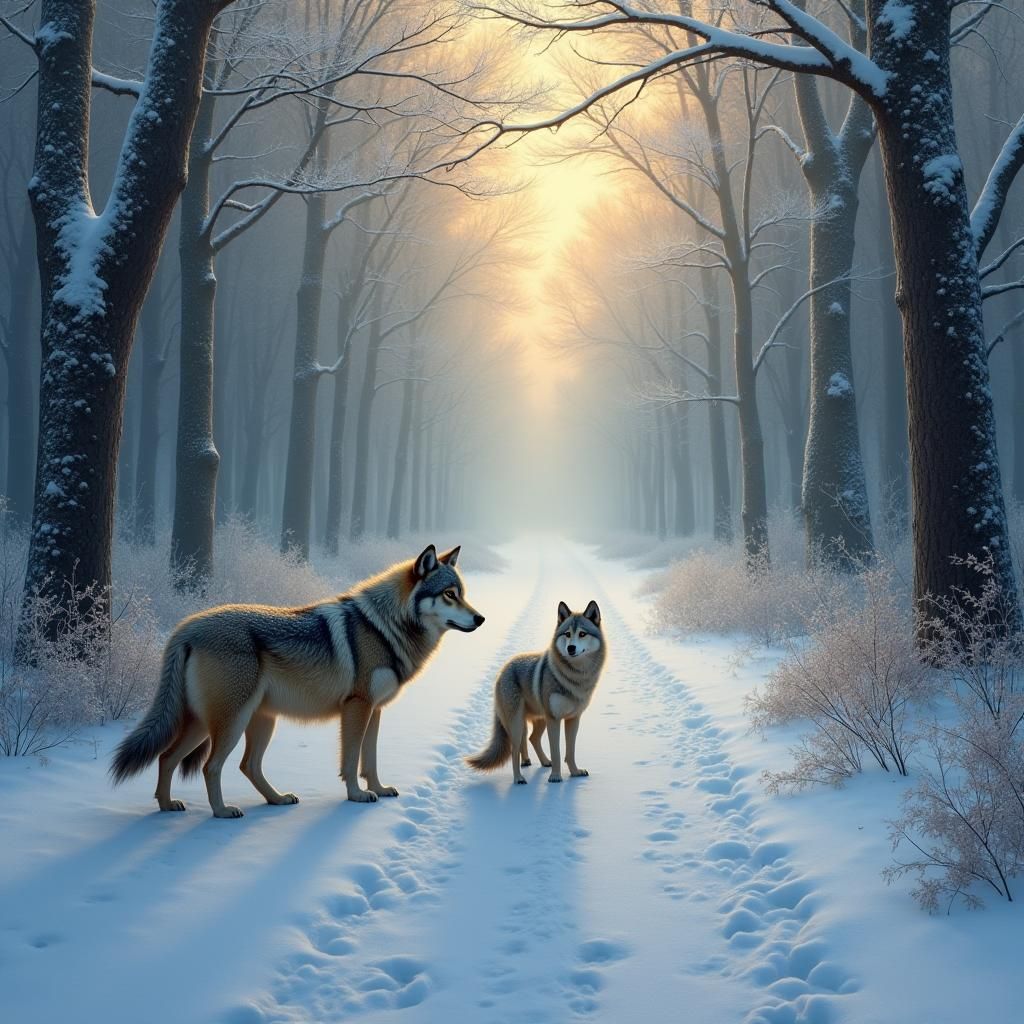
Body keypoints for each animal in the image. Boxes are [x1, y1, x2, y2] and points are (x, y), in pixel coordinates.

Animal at [111, 544, 483, 816]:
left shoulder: (375, 711)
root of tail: (186, 627)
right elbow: (351, 760)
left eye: (463, 593)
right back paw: (222, 811)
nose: (481, 618)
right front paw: (357, 796)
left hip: (232, 722)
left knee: (187, 760)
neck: (385, 627)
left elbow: (371, 760)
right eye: (449, 594)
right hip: (231, 723)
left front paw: (377, 789)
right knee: (210, 766)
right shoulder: (357, 707)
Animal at [467, 600, 606, 785]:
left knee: (530, 739)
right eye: (567, 634)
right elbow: (557, 752)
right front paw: (555, 777)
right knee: (515, 750)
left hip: (538, 720)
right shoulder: (554, 719)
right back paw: (519, 778)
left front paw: (575, 772)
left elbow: (570, 751)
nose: (571, 648)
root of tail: (503, 669)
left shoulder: (573, 719)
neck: (576, 677)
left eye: (582, 634)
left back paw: (537, 761)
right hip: (518, 723)